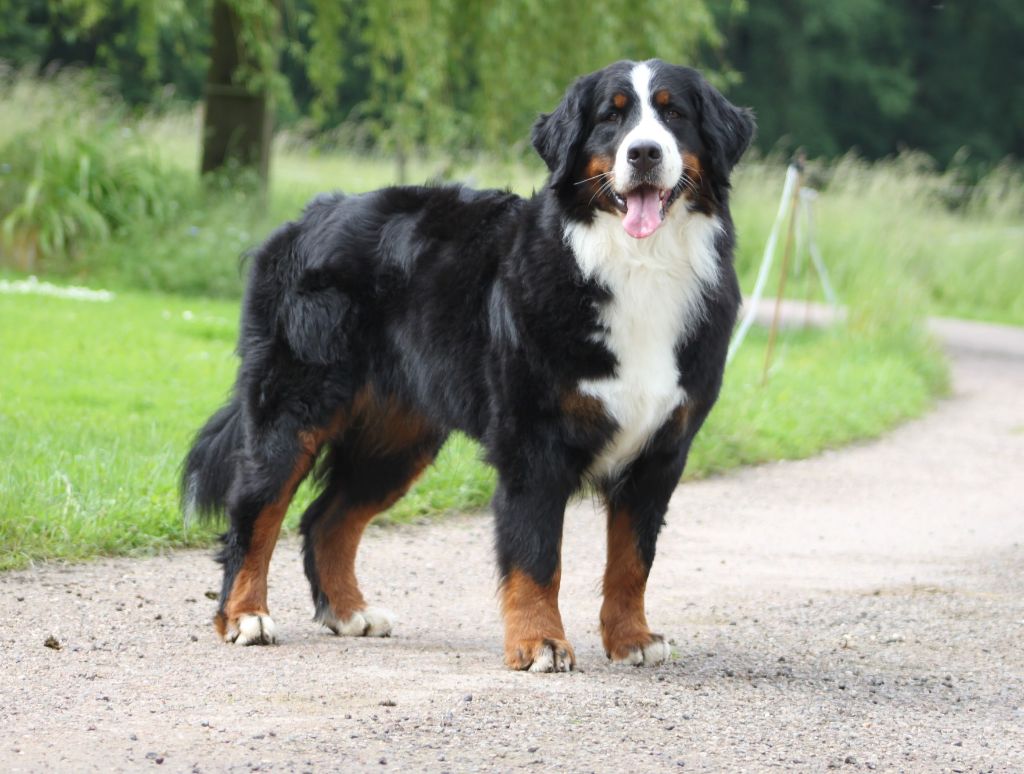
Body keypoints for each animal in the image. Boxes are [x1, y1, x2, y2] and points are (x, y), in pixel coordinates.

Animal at [184, 58, 757, 671]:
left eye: (674, 114)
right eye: (612, 115)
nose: (644, 152)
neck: (635, 268)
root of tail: (307, 217)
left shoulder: (661, 448)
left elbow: (632, 559)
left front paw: (631, 640)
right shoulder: (534, 441)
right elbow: (536, 556)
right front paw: (539, 642)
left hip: (398, 437)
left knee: (326, 520)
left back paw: (350, 612)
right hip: (294, 409)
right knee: (255, 512)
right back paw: (245, 615)